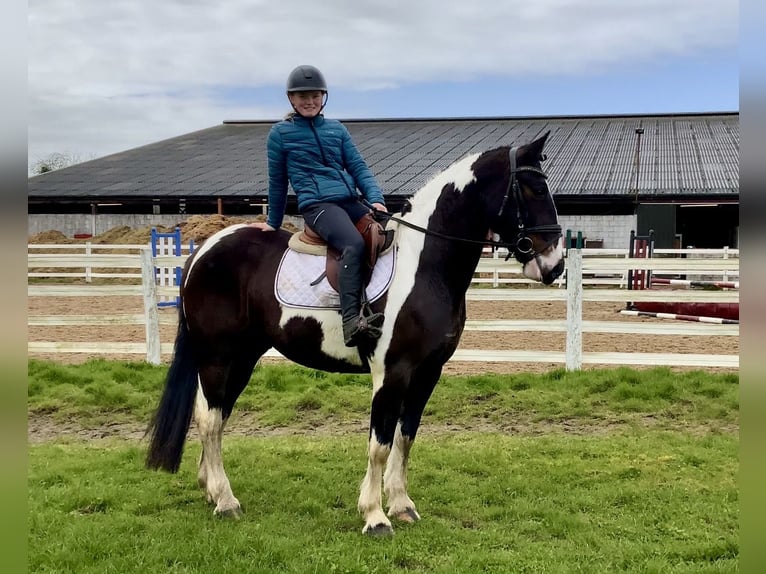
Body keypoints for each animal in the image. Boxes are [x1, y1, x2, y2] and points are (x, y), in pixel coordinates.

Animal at [145, 131, 566, 536]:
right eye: (532, 189)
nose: (555, 265)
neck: (424, 266)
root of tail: (203, 250)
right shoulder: (392, 372)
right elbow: (380, 444)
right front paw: (375, 517)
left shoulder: (428, 372)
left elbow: (406, 437)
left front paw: (402, 506)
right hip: (218, 356)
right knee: (210, 418)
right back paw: (225, 500)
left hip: (243, 357)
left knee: (217, 416)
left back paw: (210, 490)